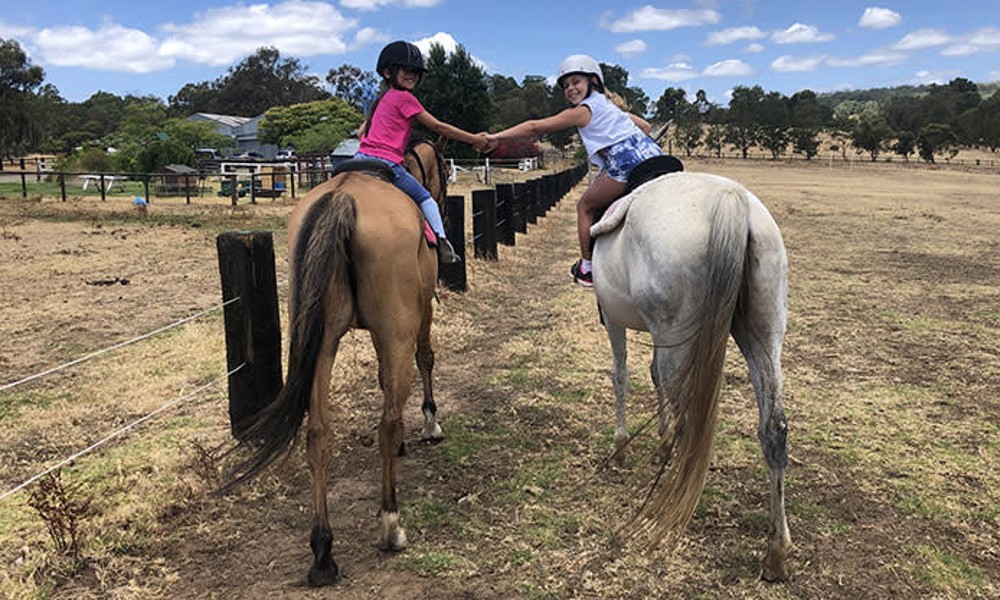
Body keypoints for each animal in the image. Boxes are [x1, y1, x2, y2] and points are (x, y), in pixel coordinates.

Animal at [229, 136, 452, 584]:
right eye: (442, 171)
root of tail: (343, 198)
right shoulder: (414, 319)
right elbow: (423, 360)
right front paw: (429, 424)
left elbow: (384, 382)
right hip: (392, 330)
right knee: (386, 422)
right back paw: (390, 526)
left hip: (321, 342)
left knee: (318, 432)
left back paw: (322, 552)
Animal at [588, 169, 792, 580]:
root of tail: (730, 201)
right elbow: (653, 377)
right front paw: (659, 442)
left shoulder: (614, 320)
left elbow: (621, 374)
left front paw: (621, 446)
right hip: (762, 333)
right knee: (773, 429)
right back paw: (776, 551)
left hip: (677, 331)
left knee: (688, 420)